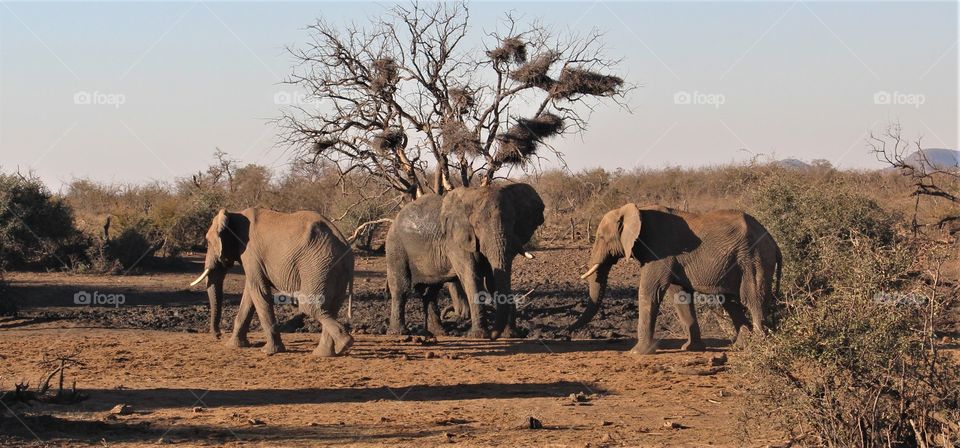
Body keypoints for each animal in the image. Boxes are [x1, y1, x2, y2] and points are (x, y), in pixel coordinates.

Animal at [189, 207, 354, 356]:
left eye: (208, 242)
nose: (218, 335)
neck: (234, 214)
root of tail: (346, 247)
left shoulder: (250, 251)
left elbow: (258, 291)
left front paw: (269, 351)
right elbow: (250, 294)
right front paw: (233, 346)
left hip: (317, 265)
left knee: (309, 305)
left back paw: (345, 343)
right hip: (330, 268)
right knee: (331, 307)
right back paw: (324, 353)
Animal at [384, 182, 548, 340]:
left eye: (514, 222)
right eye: (478, 225)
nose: (493, 336)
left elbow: (493, 282)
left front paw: (511, 335)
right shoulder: (455, 241)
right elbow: (472, 277)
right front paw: (478, 336)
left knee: (431, 292)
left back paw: (438, 333)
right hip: (395, 246)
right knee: (401, 287)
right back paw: (399, 333)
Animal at [568, 205, 780, 356]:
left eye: (601, 237)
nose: (568, 331)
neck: (635, 210)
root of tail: (773, 241)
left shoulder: (660, 251)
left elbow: (649, 291)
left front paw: (637, 353)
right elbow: (679, 295)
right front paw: (690, 348)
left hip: (754, 258)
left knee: (753, 299)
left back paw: (759, 347)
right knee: (730, 301)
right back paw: (741, 346)